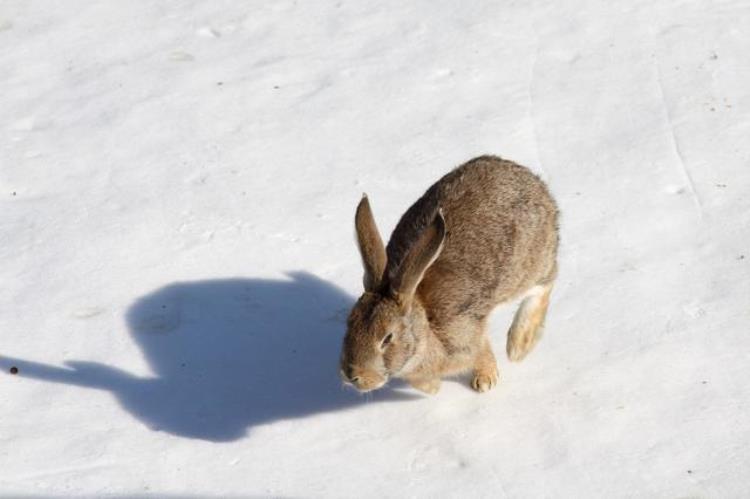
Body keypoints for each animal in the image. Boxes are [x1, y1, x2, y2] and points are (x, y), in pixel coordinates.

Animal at [340, 155, 560, 394]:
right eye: (349, 323)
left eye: (387, 338)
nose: (352, 375)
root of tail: (533, 181)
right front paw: (433, 387)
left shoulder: (467, 333)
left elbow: (481, 352)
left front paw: (485, 381)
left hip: (526, 268)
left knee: (545, 284)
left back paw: (518, 347)